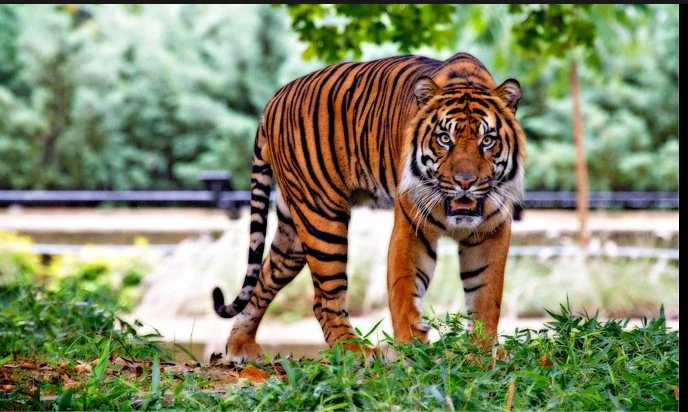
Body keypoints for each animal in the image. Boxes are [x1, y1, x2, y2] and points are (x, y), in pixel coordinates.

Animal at [212, 51, 525, 362]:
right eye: (444, 139)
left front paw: (481, 353)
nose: (465, 182)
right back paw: (356, 351)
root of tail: (274, 99)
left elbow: (486, 296)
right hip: (322, 219)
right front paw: (412, 352)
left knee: (264, 278)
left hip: (293, 232)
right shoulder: (411, 228)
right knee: (324, 300)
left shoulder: (491, 231)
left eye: (487, 140)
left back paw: (240, 346)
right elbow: (405, 291)